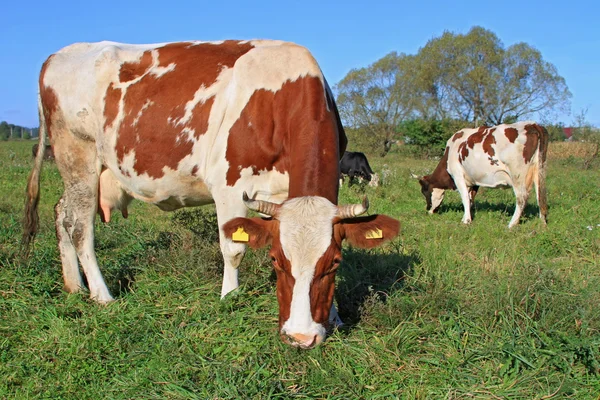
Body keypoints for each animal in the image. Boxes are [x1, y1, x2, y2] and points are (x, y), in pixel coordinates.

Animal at [23, 39, 400, 348]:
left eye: (334, 262)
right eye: (276, 260)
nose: (301, 337)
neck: (280, 96)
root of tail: (57, 55)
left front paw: (334, 315)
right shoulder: (230, 185)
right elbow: (233, 249)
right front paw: (229, 297)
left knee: (61, 214)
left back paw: (74, 287)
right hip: (79, 159)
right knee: (79, 226)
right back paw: (102, 295)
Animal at [418, 121, 548, 228]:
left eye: (424, 191)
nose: (428, 210)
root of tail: (532, 124)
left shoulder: (458, 176)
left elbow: (465, 197)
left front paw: (466, 221)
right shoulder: (473, 181)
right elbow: (470, 199)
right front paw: (468, 217)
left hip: (517, 175)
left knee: (522, 198)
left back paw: (511, 224)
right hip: (538, 171)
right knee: (539, 196)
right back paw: (542, 222)